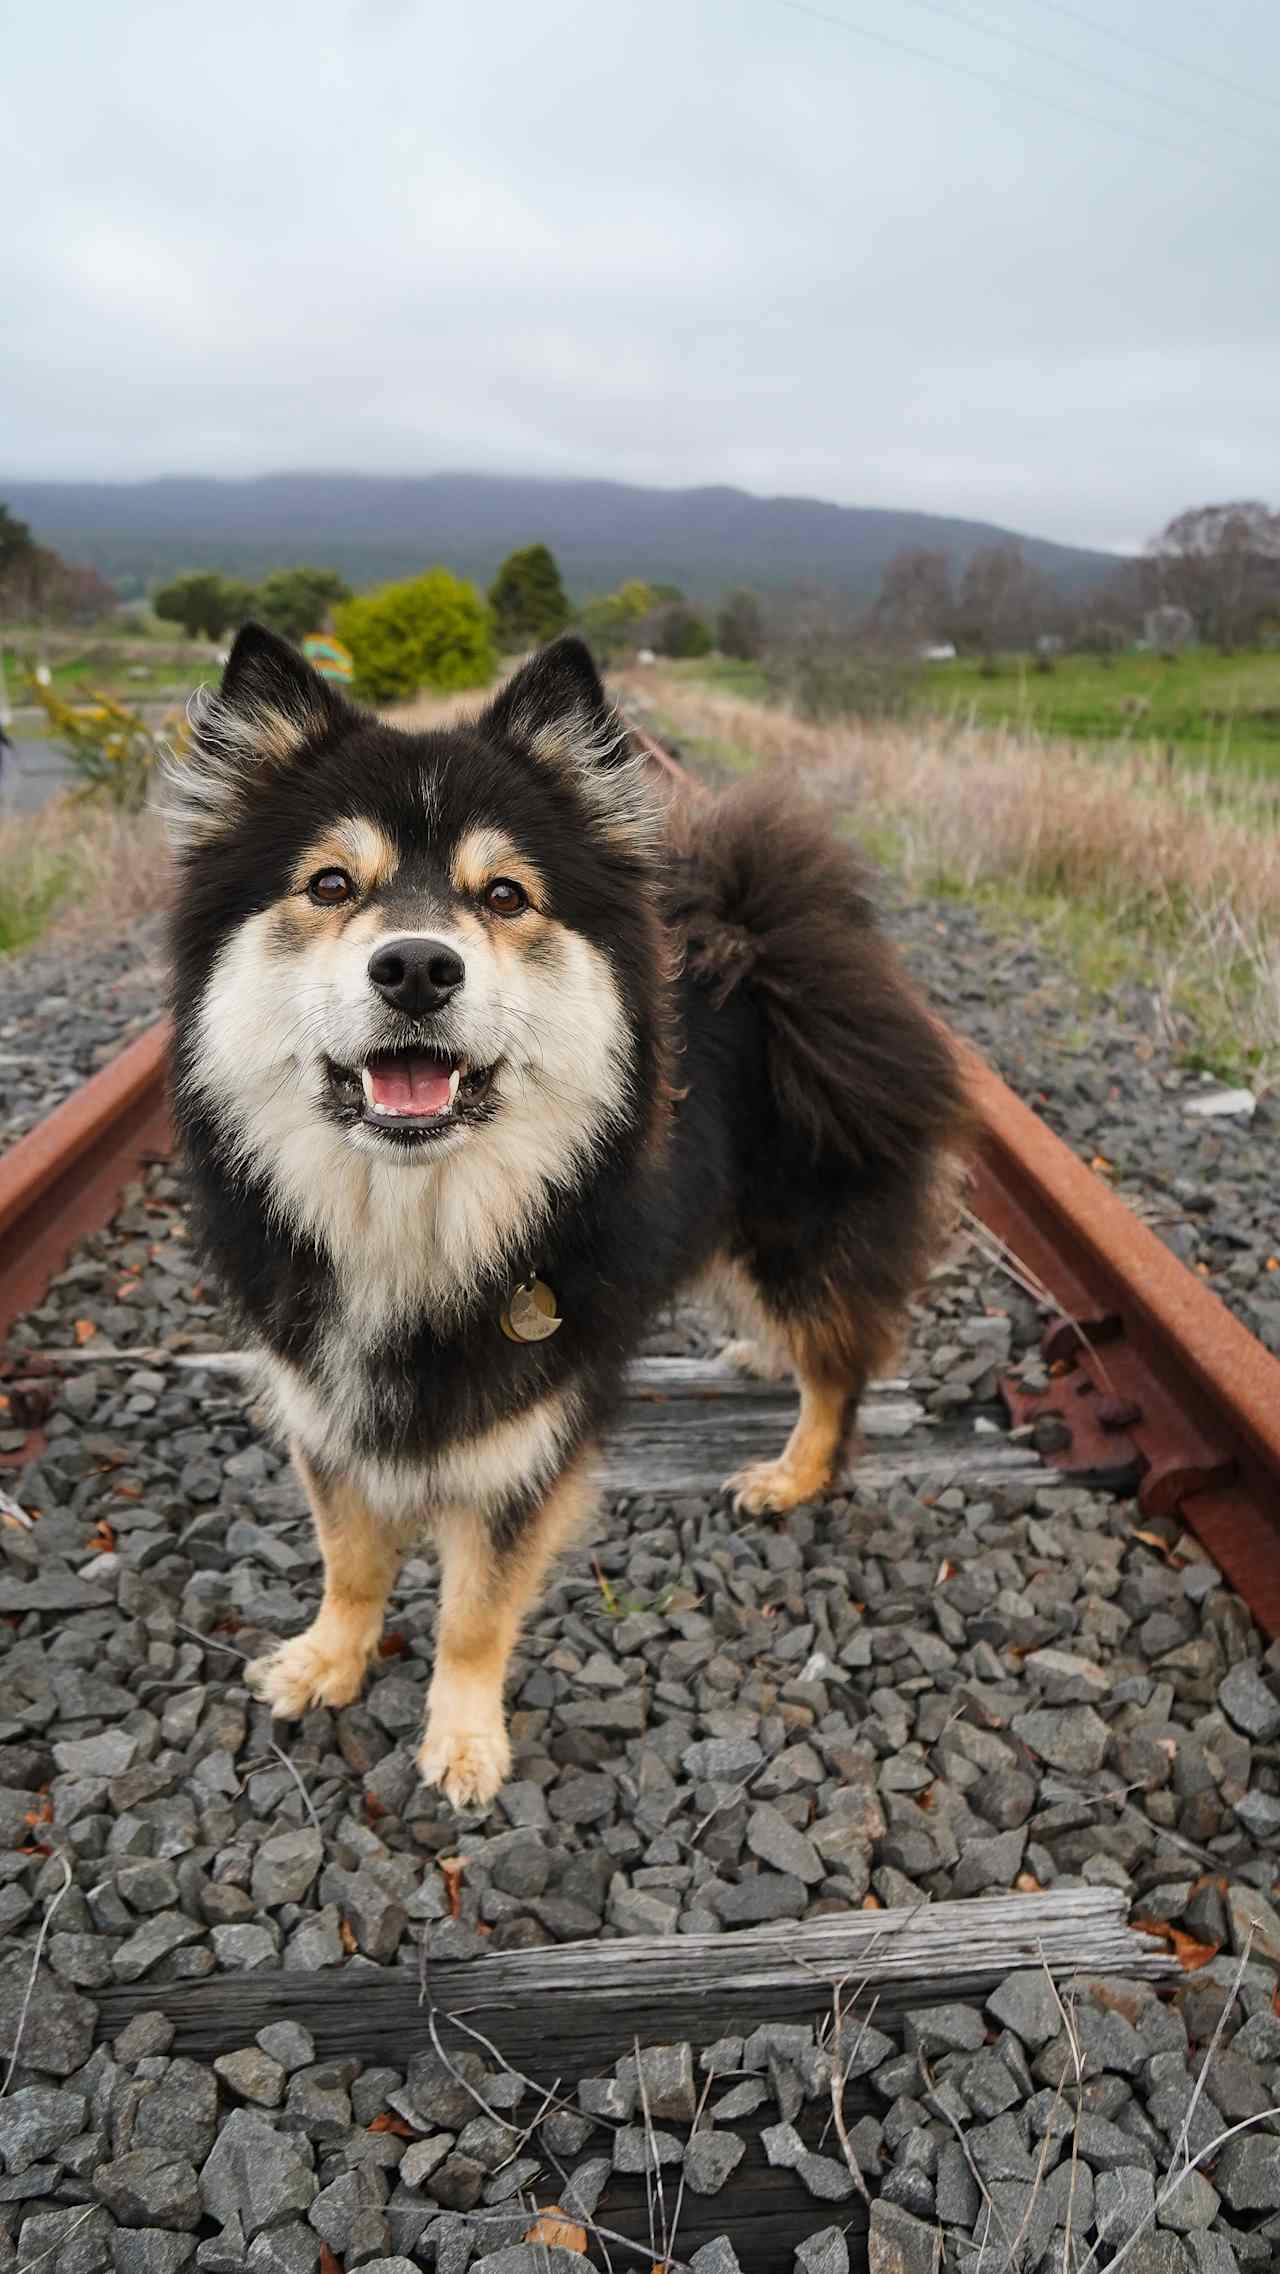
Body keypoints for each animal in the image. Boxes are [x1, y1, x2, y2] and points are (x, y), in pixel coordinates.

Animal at [168, 627, 973, 1810]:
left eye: (505, 895)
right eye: (328, 883)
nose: (416, 965)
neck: (419, 1223)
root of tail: (775, 940)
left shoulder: (527, 1443)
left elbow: (473, 1610)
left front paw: (462, 1740)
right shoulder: (323, 1402)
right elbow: (350, 1558)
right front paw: (328, 1658)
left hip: (799, 1230)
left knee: (840, 1364)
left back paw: (792, 1469)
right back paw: (752, 1355)